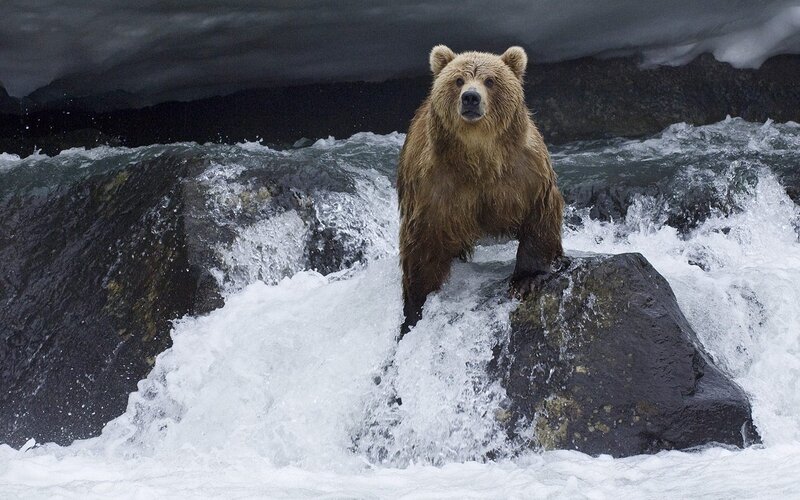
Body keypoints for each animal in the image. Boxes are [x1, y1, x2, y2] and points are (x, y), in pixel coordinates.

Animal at [397, 45, 564, 337]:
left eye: (490, 80)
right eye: (458, 80)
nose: (471, 98)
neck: (479, 157)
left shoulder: (525, 172)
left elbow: (539, 216)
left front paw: (526, 280)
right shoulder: (434, 186)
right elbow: (422, 242)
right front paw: (415, 306)